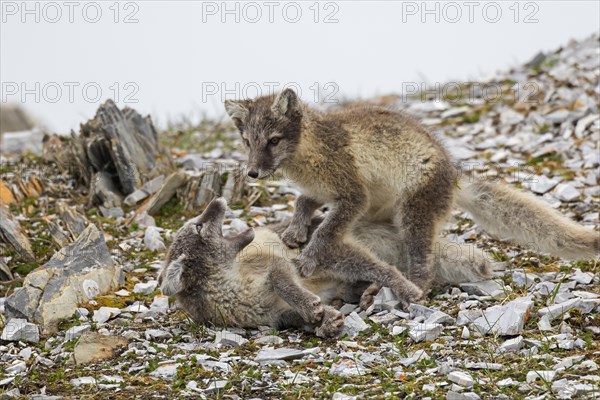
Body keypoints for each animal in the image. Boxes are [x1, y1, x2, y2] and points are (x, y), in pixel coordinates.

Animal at [226, 88, 600, 296]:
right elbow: (304, 200)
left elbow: (328, 230)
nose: (253, 172)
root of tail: (453, 175)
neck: (308, 156)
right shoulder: (328, 191)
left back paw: (407, 291)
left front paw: (308, 257)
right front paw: (295, 229)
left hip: (413, 214)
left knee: (425, 268)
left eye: (274, 140)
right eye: (247, 142)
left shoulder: (353, 194)